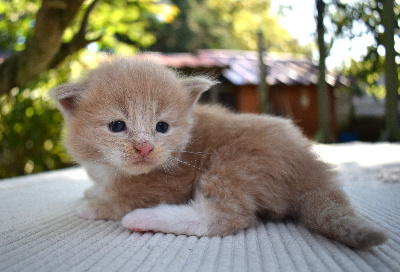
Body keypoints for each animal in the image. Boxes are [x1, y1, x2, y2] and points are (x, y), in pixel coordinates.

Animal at [50, 56, 388, 249]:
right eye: (117, 125)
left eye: (162, 127)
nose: (145, 147)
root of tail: (313, 167)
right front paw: (92, 191)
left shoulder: (166, 183)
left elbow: (122, 197)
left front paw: (93, 206)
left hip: (232, 163)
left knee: (226, 217)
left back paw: (143, 219)